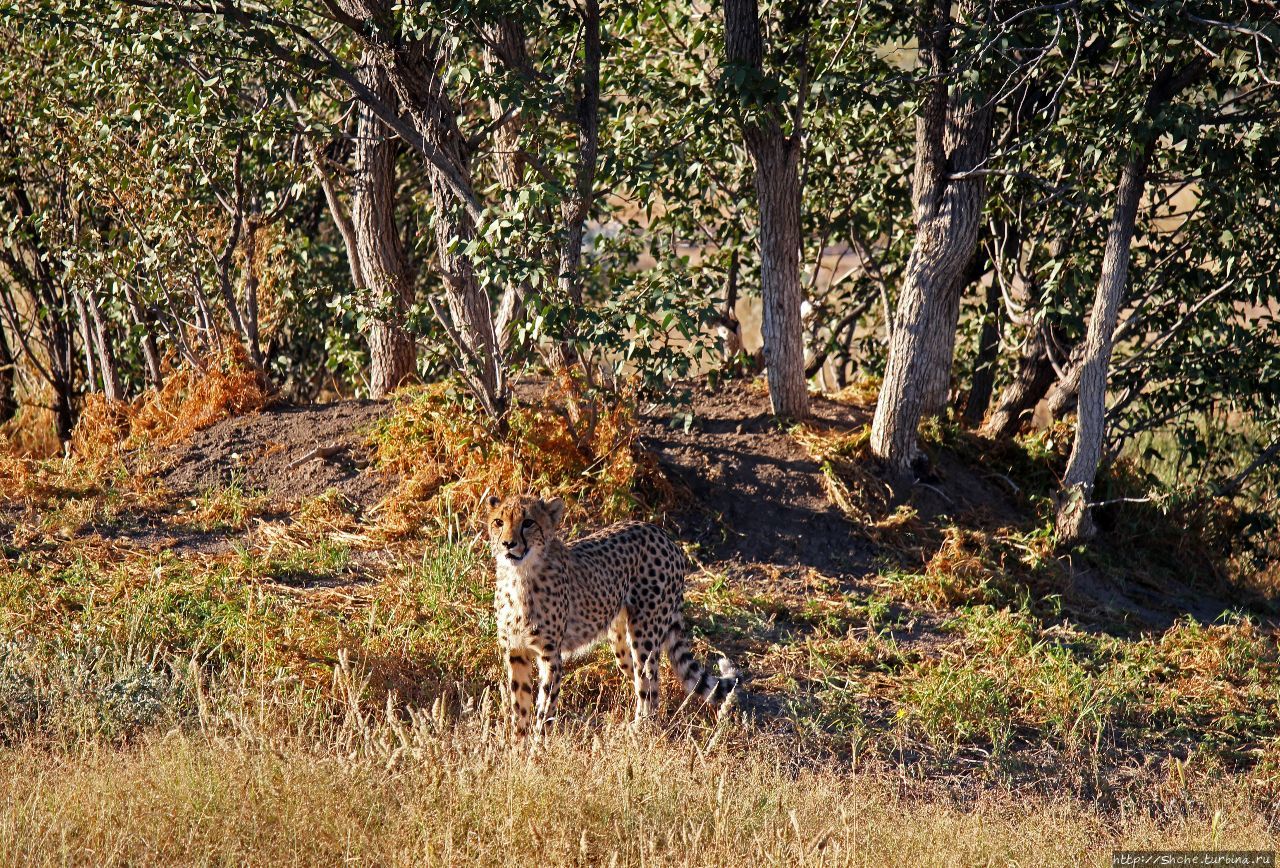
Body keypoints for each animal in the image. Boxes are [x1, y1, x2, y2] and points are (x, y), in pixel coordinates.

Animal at [481, 494, 742, 742]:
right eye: (498, 522)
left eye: (528, 522)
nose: (508, 544)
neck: (519, 576)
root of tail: (660, 532)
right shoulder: (515, 652)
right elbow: (519, 706)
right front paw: (518, 747)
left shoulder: (550, 655)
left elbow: (545, 708)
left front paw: (537, 747)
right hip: (620, 643)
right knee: (644, 682)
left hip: (645, 634)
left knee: (649, 685)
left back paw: (639, 732)